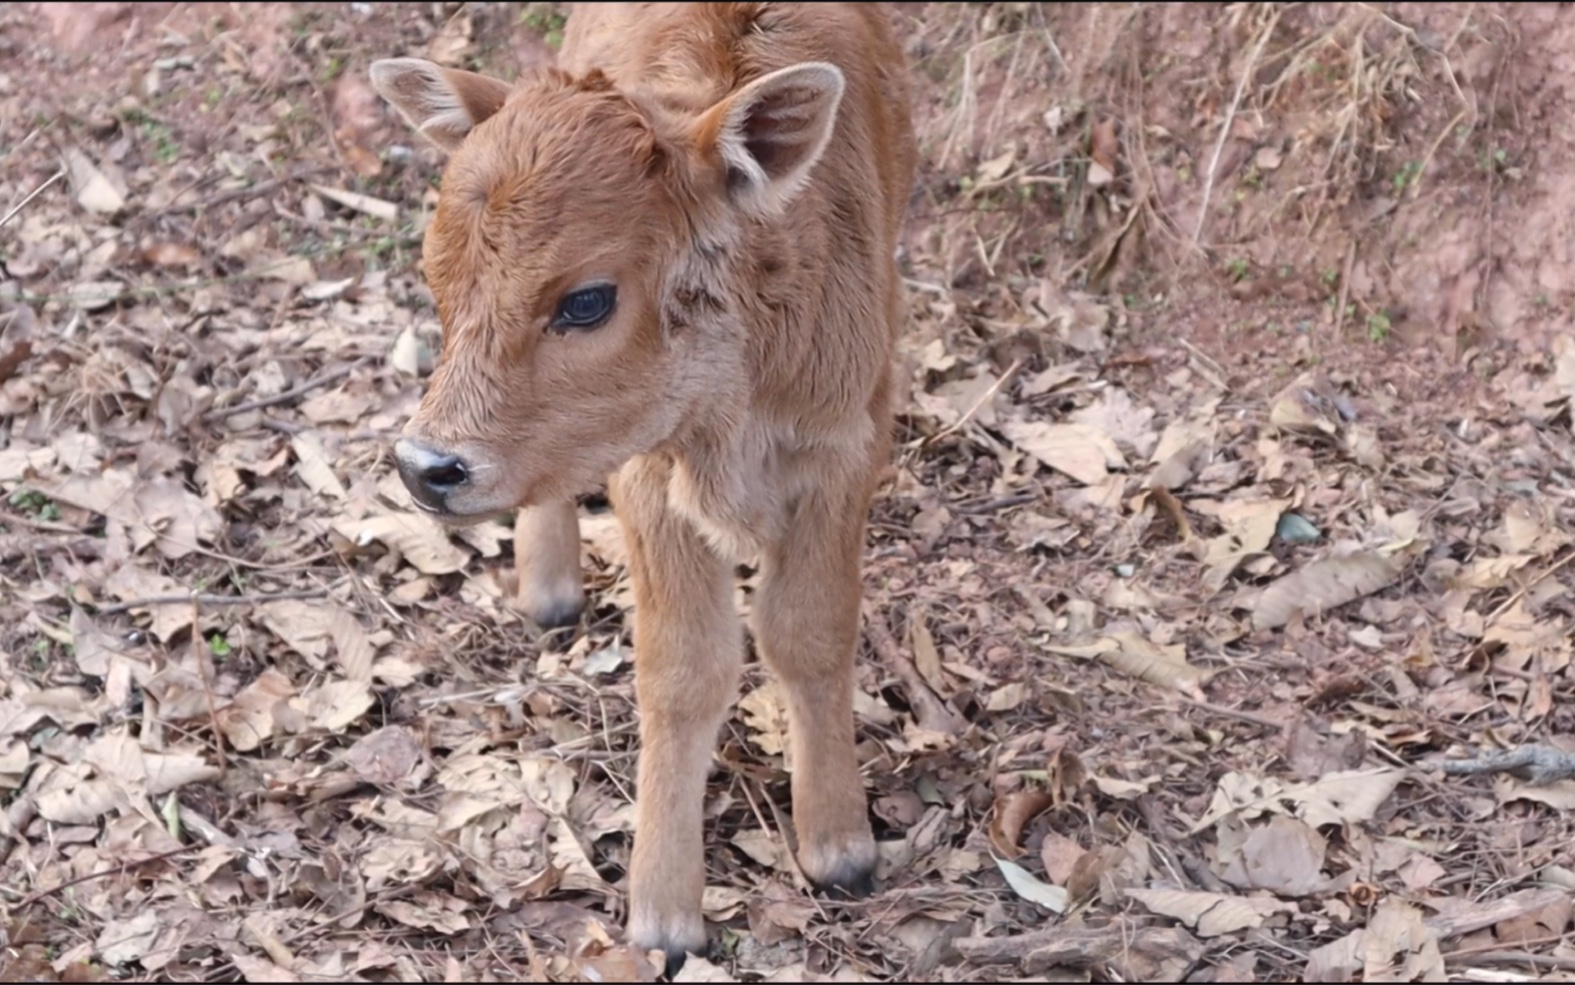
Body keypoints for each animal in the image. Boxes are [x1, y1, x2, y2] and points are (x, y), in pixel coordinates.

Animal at [366, 1, 919, 970]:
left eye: (586, 300)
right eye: (437, 276)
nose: (427, 466)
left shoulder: (844, 449)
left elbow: (808, 632)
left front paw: (839, 845)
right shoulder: (651, 474)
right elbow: (684, 668)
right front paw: (663, 914)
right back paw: (547, 589)